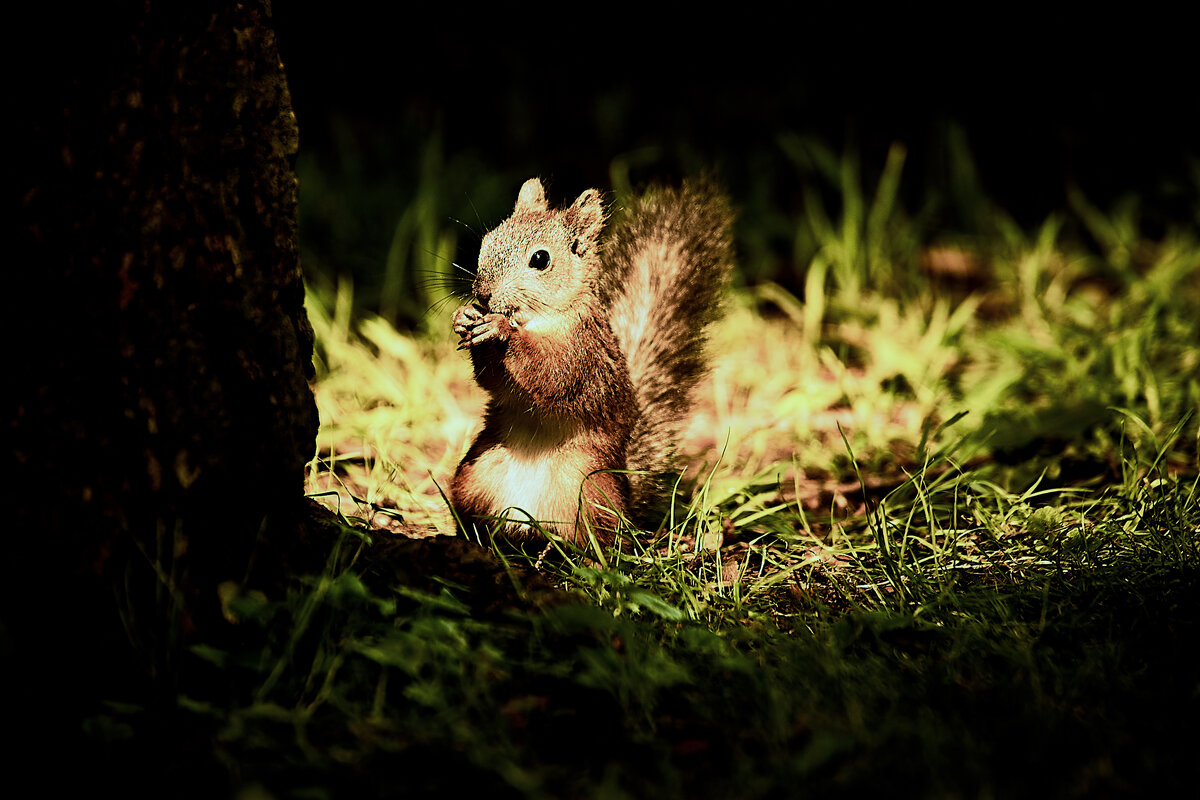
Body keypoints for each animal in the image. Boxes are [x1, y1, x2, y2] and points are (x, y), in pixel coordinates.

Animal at [451, 177, 729, 546]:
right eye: (488, 241)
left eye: (540, 259)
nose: (483, 295)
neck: (538, 318)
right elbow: (493, 380)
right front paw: (465, 316)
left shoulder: (583, 350)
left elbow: (551, 372)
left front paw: (501, 330)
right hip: (476, 474)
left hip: (587, 489)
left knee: (599, 538)